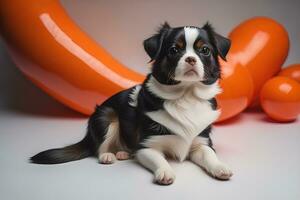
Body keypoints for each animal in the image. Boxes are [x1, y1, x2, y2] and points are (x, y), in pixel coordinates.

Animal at [30, 21, 232, 184]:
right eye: (174, 50)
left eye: (204, 50)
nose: (190, 59)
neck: (186, 95)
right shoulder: (146, 147)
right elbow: (159, 159)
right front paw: (165, 171)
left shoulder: (201, 143)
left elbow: (209, 155)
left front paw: (220, 167)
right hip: (106, 116)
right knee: (99, 146)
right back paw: (108, 155)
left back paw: (122, 152)